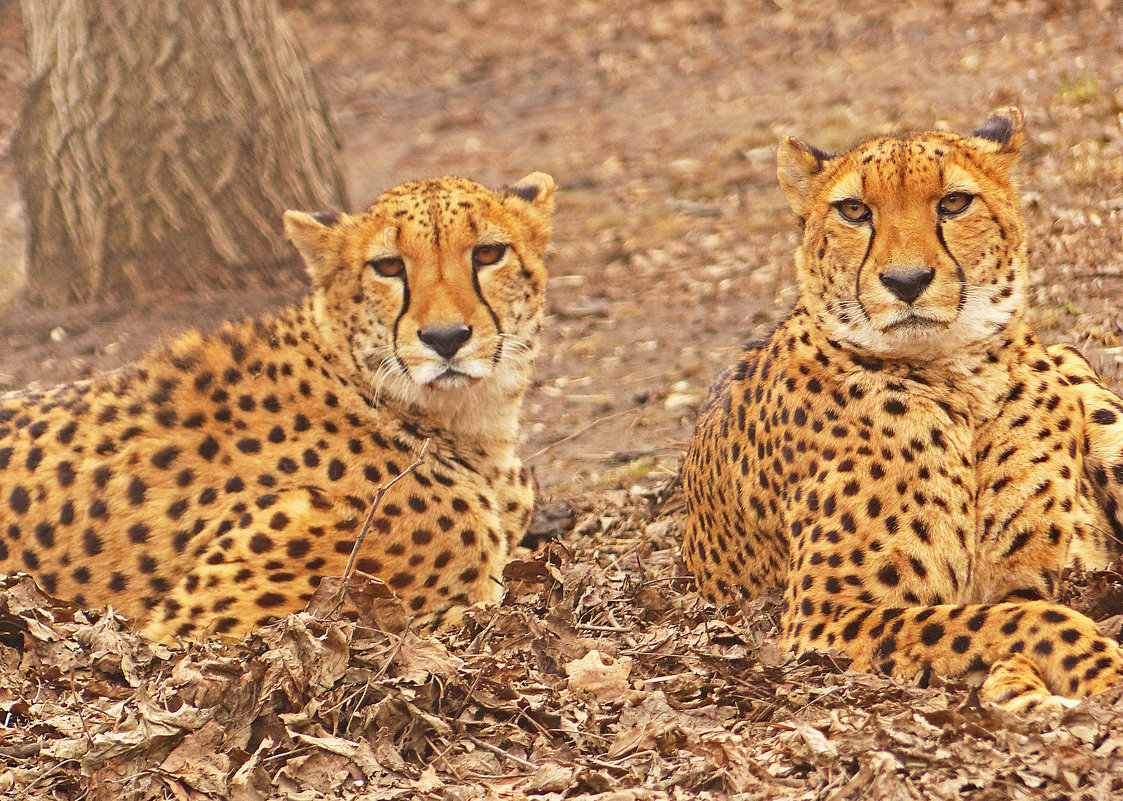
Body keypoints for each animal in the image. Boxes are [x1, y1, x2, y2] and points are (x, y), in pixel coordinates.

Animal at [678, 107, 1123, 714]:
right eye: (854, 210)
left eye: (954, 203)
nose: (906, 281)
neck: (958, 377)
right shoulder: (824, 615)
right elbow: (1018, 619)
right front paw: (1091, 674)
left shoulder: (1032, 577)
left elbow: (1020, 611)